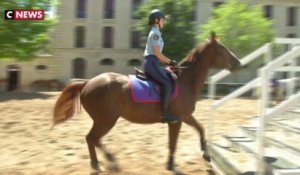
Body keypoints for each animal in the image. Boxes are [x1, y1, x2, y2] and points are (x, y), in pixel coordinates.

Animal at [52, 32, 241, 172]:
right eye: (222, 49)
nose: (238, 63)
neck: (185, 81)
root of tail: (87, 83)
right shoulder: (177, 120)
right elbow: (174, 143)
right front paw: (172, 165)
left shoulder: (185, 116)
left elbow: (199, 129)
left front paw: (206, 154)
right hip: (106, 120)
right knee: (92, 138)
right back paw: (108, 161)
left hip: (103, 120)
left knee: (92, 139)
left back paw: (100, 163)